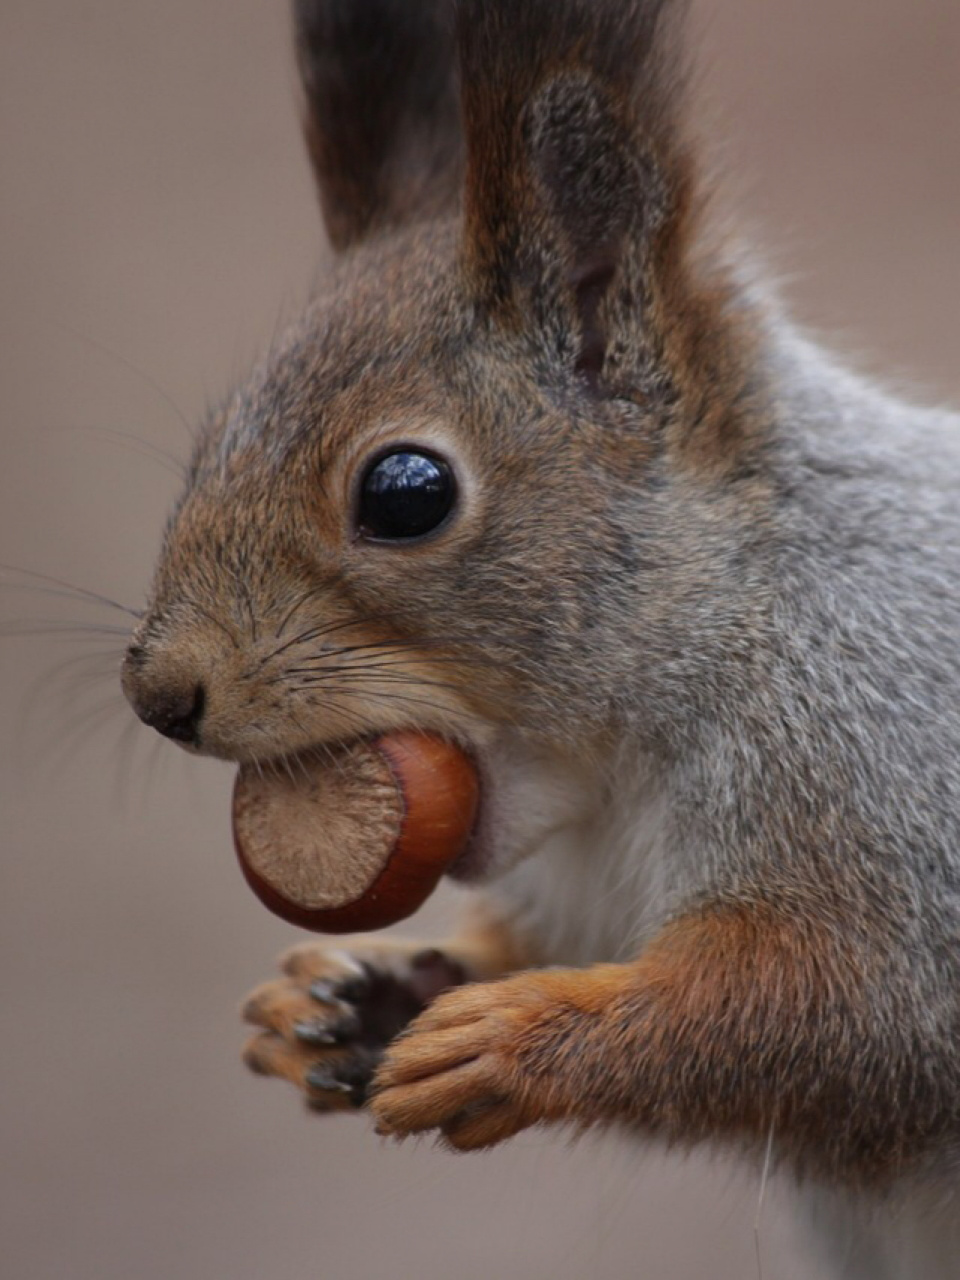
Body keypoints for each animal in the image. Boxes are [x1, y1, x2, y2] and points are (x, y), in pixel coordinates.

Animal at [120, 5, 960, 1274]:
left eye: (406, 491)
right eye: (216, 437)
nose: (163, 693)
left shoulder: (891, 755)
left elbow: (854, 1009)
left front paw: (520, 1034)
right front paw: (352, 995)